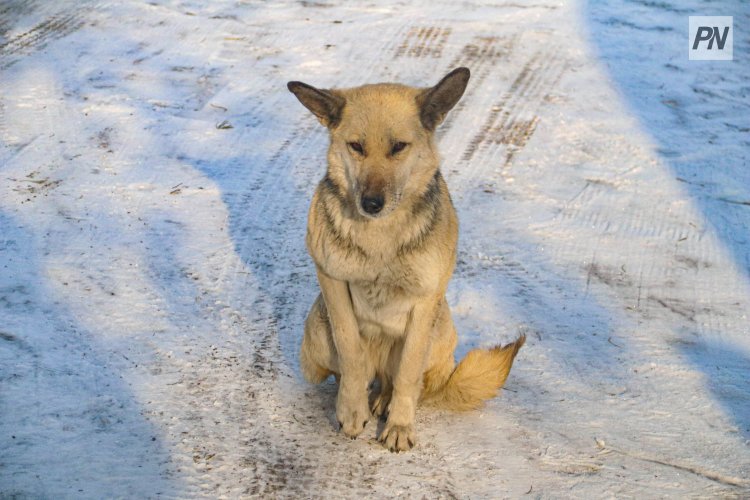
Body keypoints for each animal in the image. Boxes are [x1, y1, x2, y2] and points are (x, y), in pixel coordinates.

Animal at [288, 67, 528, 454]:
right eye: (356, 146)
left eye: (399, 147)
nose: (371, 204)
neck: (379, 235)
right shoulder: (331, 282)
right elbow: (350, 351)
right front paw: (351, 409)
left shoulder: (425, 300)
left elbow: (408, 372)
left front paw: (399, 424)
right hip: (315, 337)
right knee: (350, 369)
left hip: (440, 328)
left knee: (407, 381)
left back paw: (387, 400)